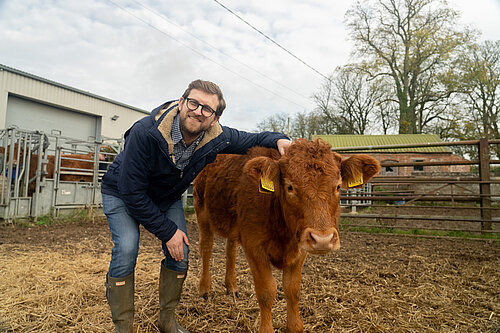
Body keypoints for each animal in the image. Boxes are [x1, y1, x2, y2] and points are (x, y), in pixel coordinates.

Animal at [193, 138, 380, 332]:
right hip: (202, 213)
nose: (322, 240)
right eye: (290, 187)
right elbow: (267, 291)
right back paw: (205, 289)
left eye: (337, 186)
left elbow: (292, 289)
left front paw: (294, 326)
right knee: (206, 249)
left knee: (231, 251)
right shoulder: (254, 246)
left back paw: (232, 287)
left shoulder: (300, 248)